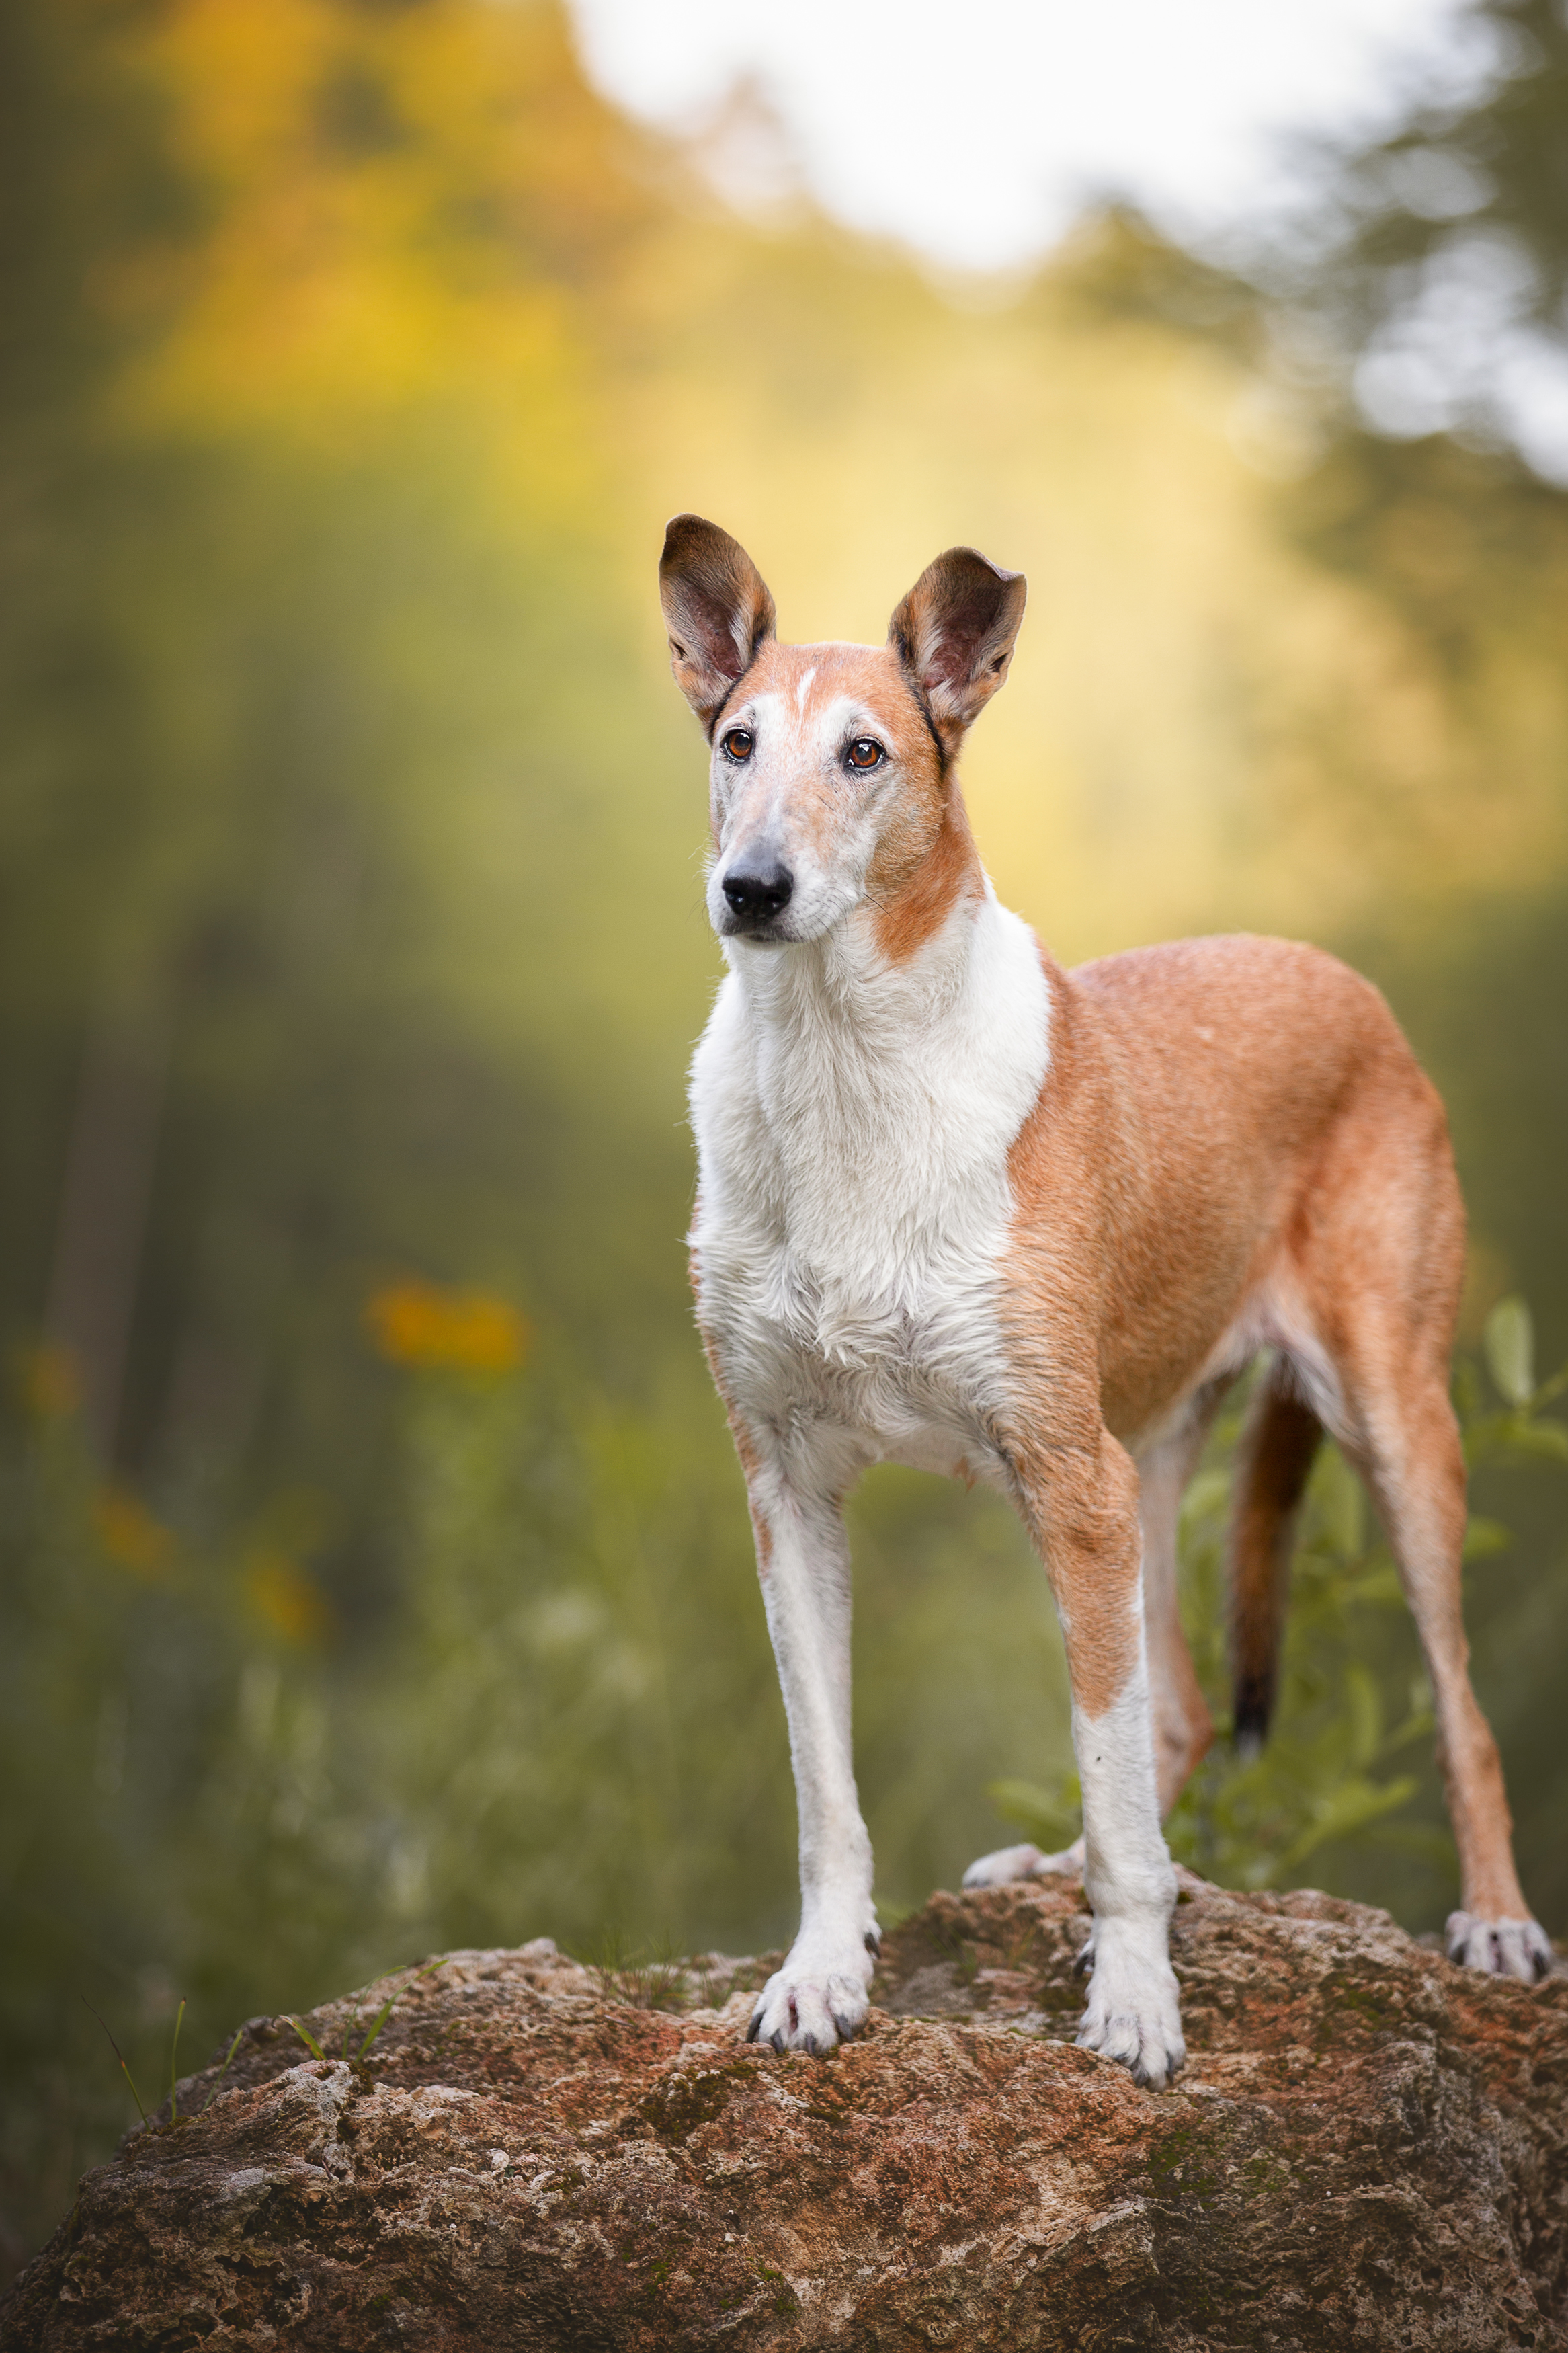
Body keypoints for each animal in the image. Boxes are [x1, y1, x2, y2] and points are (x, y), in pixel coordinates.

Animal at [658, 506, 1551, 2089]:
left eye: (863, 754)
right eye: (737, 741)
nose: (750, 890)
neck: (846, 1073)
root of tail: (1339, 975)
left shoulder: (1063, 1483)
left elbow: (1114, 1788)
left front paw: (1134, 2003)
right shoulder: (788, 1485)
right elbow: (827, 1785)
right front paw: (820, 1978)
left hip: (1383, 1431)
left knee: (1455, 1715)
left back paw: (1493, 1922)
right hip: (1145, 1464)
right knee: (1172, 1713)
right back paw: (1044, 1867)